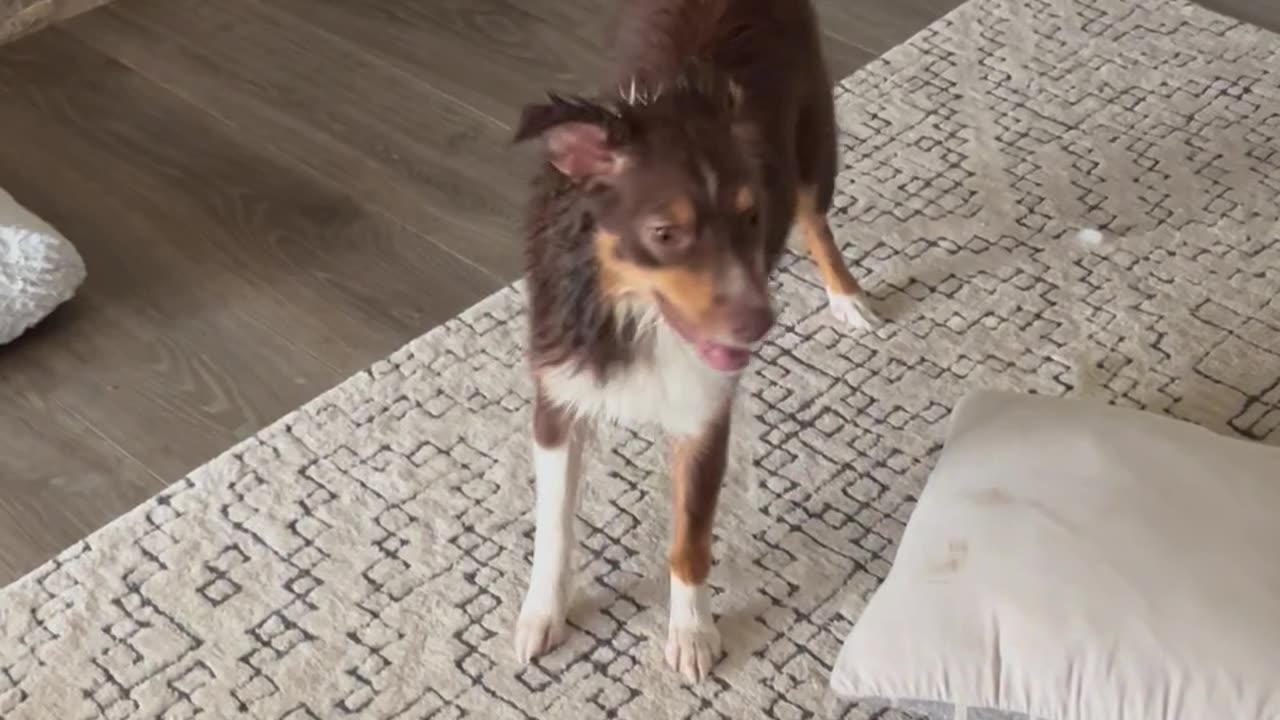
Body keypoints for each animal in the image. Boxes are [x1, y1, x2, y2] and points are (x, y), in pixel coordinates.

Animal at [509, 0, 880, 676]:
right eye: (664, 233)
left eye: (752, 217)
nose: (760, 325)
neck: (631, 314)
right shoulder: (558, 399)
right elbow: (554, 528)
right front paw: (542, 617)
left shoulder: (704, 416)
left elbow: (690, 538)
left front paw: (692, 635)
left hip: (815, 139)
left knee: (814, 214)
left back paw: (846, 294)